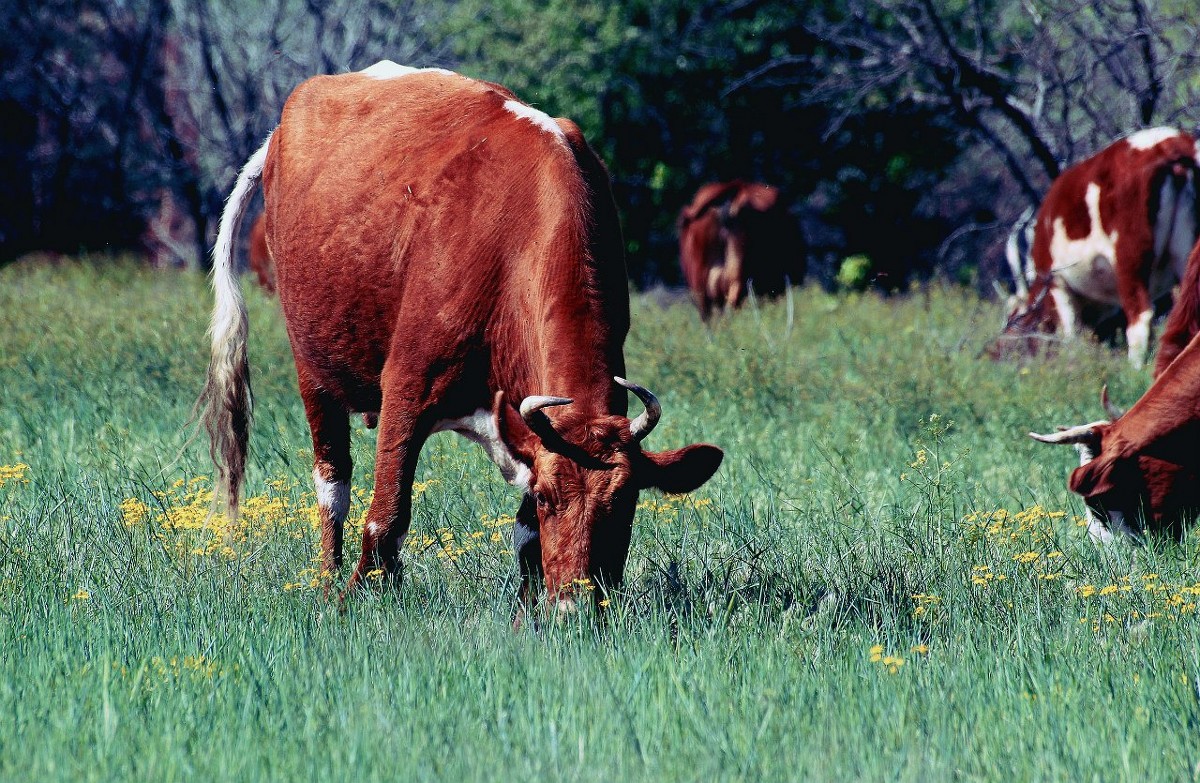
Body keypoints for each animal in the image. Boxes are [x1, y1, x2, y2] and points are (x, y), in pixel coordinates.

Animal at [198, 61, 720, 612]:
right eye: (549, 497)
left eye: (626, 503)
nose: (575, 604)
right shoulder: (408, 384)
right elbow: (386, 515)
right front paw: (353, 602)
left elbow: (525, 537)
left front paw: (526, 613)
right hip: (315, 370)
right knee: (332, 485)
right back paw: (326, 582)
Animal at [1003, 128, 1200, 367]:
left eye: (1013, 320)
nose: (996, 353)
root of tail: (1172, 147)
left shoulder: (1058, 284)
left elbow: (1071, 337)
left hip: (1130, 264)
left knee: (1140, 319)